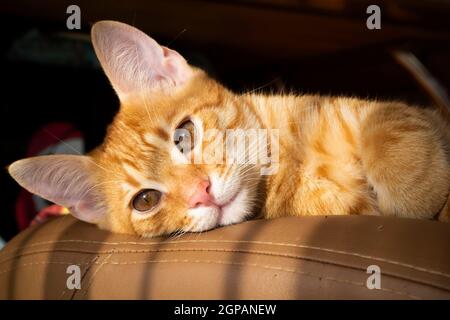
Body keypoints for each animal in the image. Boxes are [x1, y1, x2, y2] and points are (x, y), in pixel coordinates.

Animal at [7, 20, 450, 238]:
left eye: (183, 135)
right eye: (145, 200)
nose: (201, 192)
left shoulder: (396, 113)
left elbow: (389, 127)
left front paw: (417, 197)